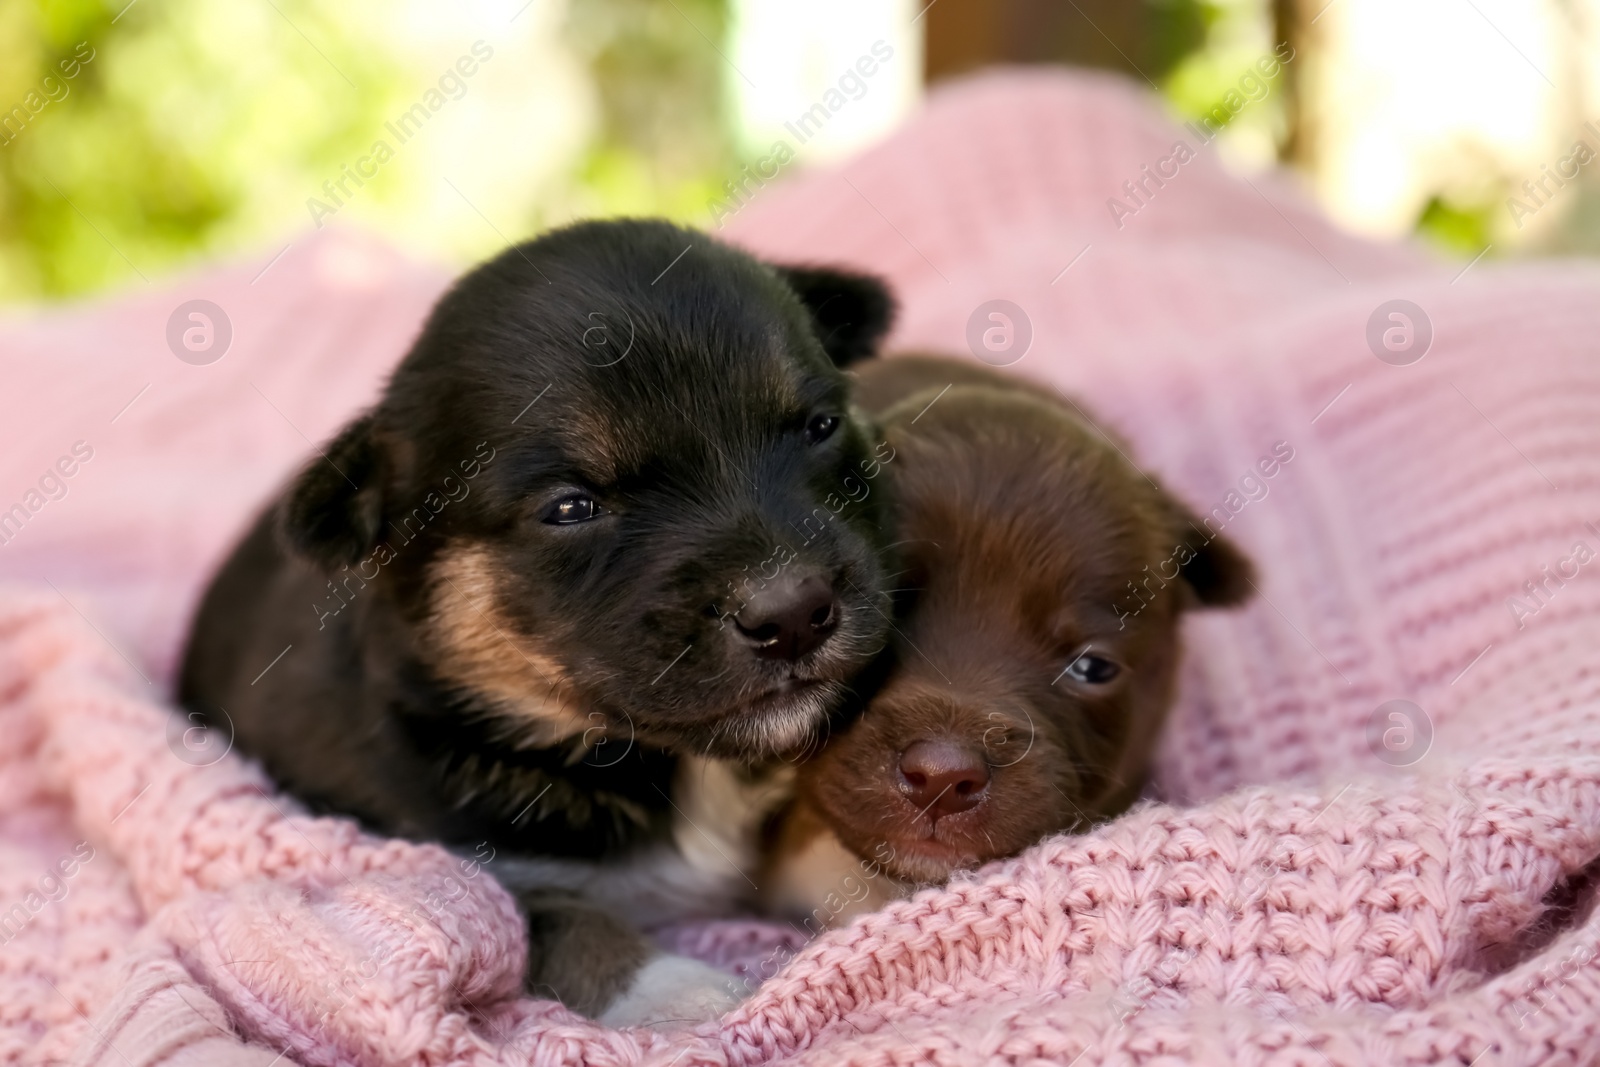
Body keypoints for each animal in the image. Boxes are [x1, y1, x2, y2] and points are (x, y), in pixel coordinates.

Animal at [180, 219, 902, 1023]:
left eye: (821, 426)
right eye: (570, 507)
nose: (794, 614)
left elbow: (828, 845)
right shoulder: (442, 863)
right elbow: (561, 918)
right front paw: (679, 986)